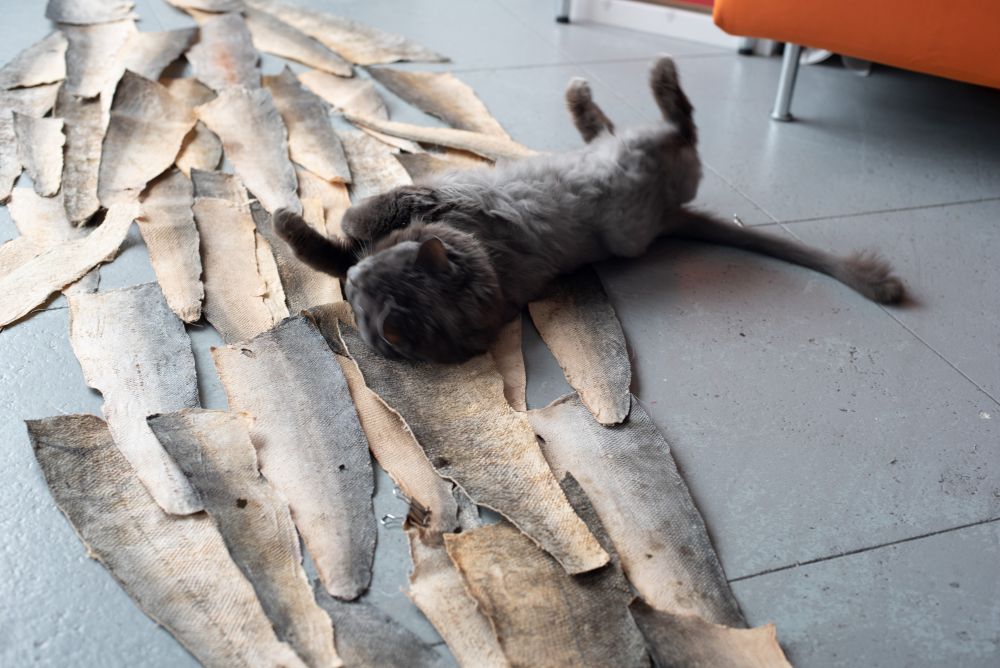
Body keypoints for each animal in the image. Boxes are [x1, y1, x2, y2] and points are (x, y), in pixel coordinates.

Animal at [274, 56, 903, 363]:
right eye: (361, 294)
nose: (359, 275)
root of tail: (667, 223)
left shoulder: (438, 196)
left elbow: (360, 219)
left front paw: (297, 217)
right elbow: (328, 252)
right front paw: (300, 227)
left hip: (646, 158)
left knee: (678, 123)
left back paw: (632, 79)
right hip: (634, 164)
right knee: (635, 128)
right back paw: (586, 97)